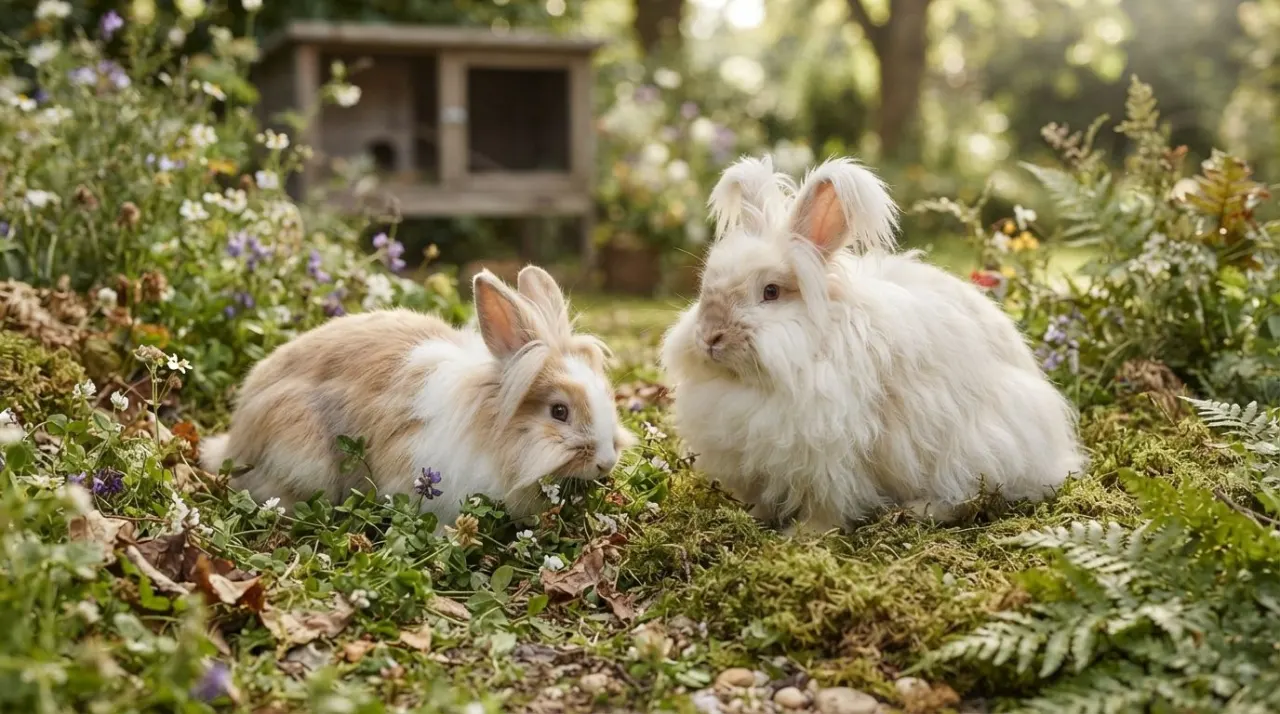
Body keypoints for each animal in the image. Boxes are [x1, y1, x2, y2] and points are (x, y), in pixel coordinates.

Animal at [660, 155, 1086, 536]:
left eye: (771, 292)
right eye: (706, 286)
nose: (710, 336)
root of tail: (1056, 454)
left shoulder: (828, 456)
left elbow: (827, 504)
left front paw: (805, 536)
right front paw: (754, 519)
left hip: (981, 447)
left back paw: (918, 510)